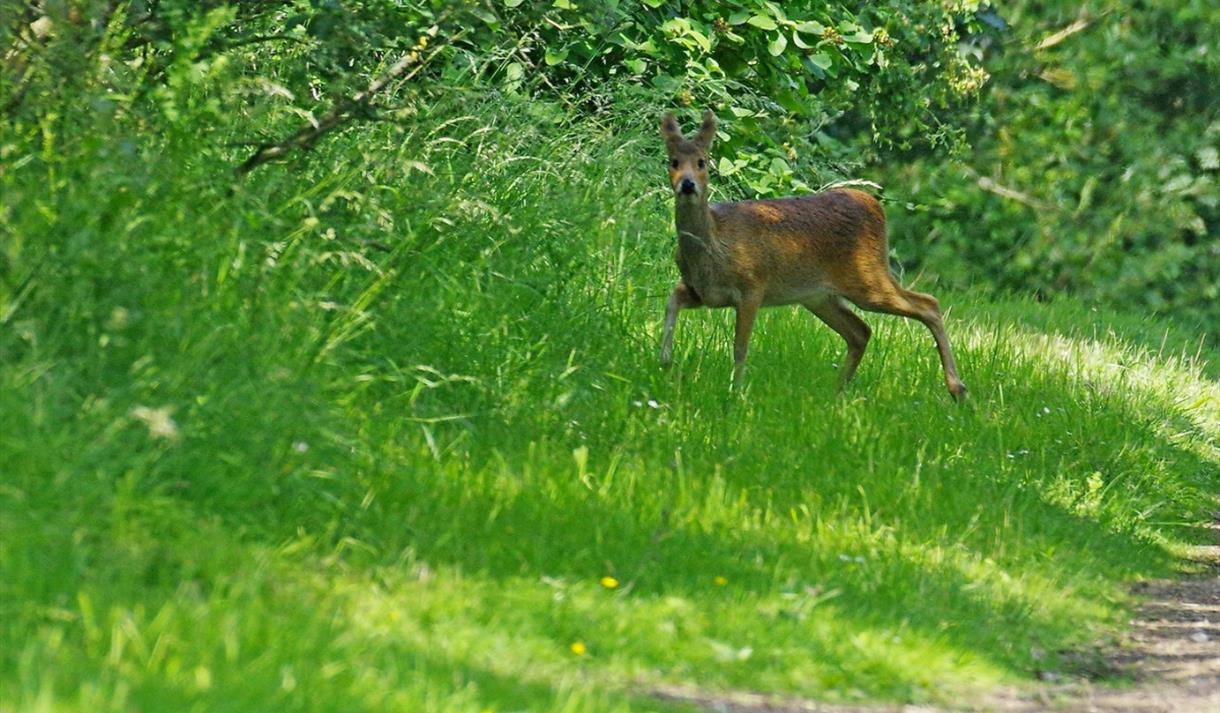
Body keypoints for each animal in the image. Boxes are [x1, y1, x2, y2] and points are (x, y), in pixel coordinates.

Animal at [663, 111, 966, 400]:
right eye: (673, 162)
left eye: (702, 162)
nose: (687, 185)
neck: (715, 246)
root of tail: (876, 207)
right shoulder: (701, 292)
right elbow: (672, 302)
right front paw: (666, 361)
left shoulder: (752, 287)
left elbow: (740, 347)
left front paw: (736, 392)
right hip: (818, 295)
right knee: (860, 331)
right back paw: (838, 391)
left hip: (866, 276)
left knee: (928, 304)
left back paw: (957, 389)